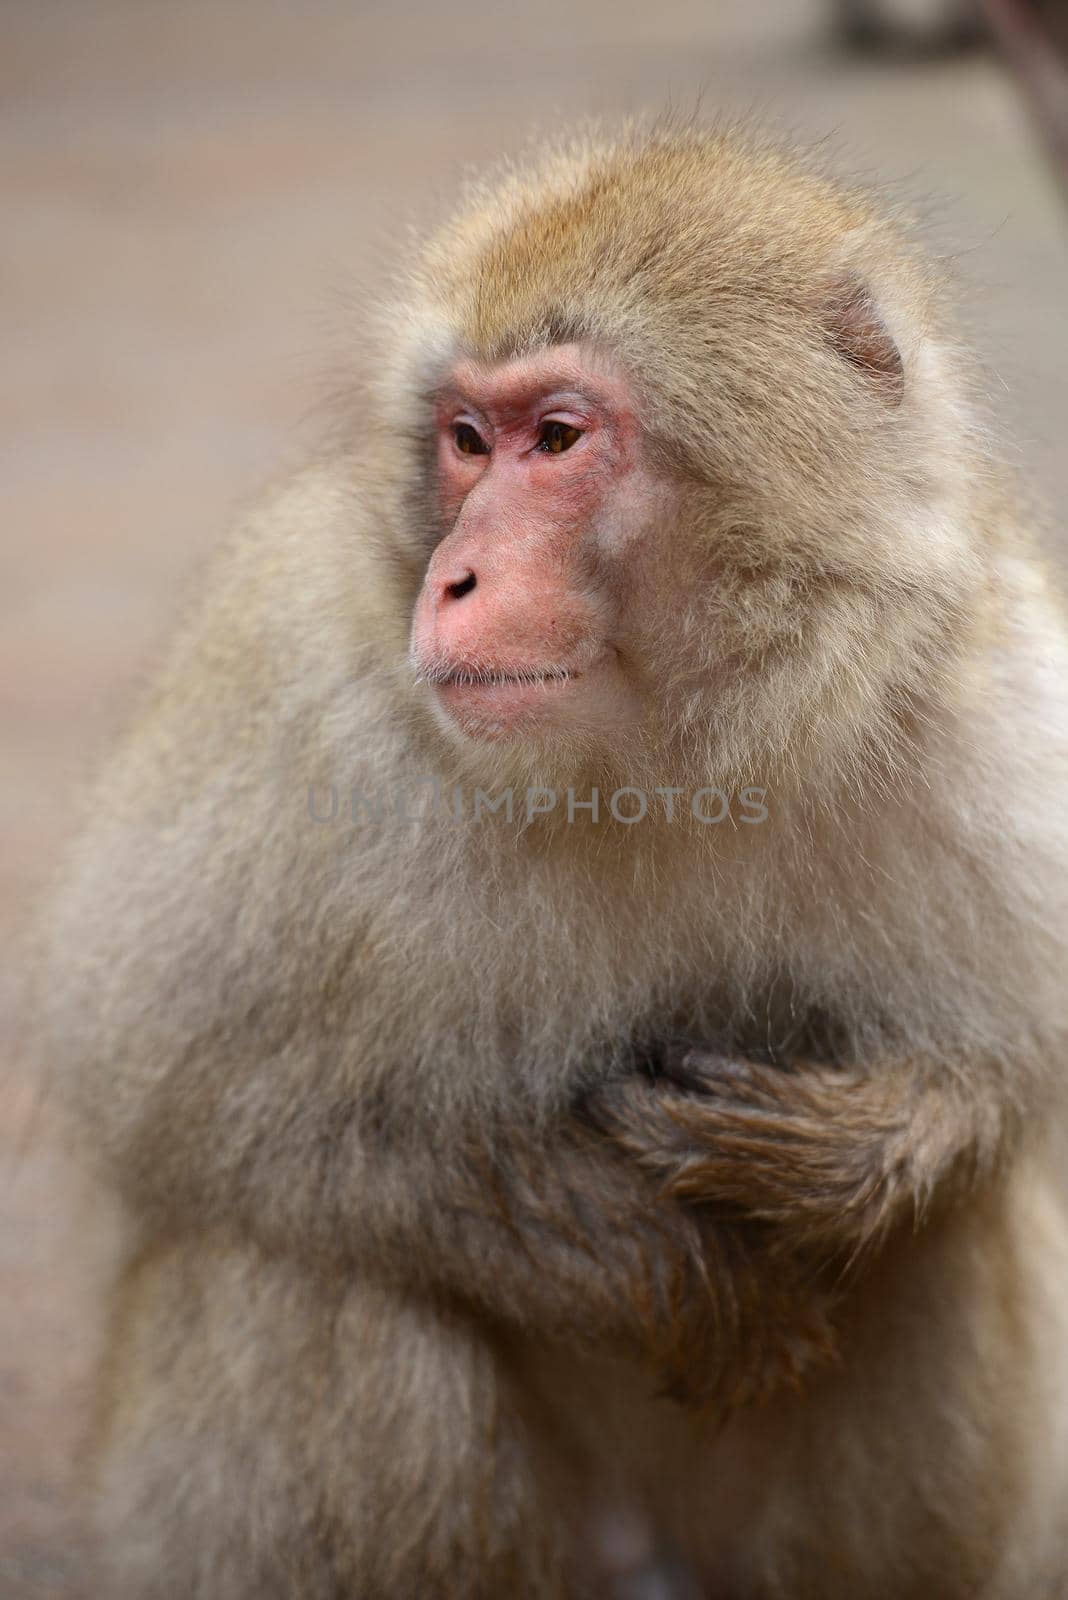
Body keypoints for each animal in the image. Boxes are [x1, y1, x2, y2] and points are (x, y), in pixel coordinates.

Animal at [37, 118, 1068, 1593]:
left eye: (560, 438)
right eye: (468, 441)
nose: (452, 578)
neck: (666, 756)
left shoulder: (996, 691)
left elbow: (1008, 1075)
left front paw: (857, 1155)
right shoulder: (291, 692)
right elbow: (188, 1109)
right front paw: (641, 1254)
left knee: (937, 1251)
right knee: (311, 1278)